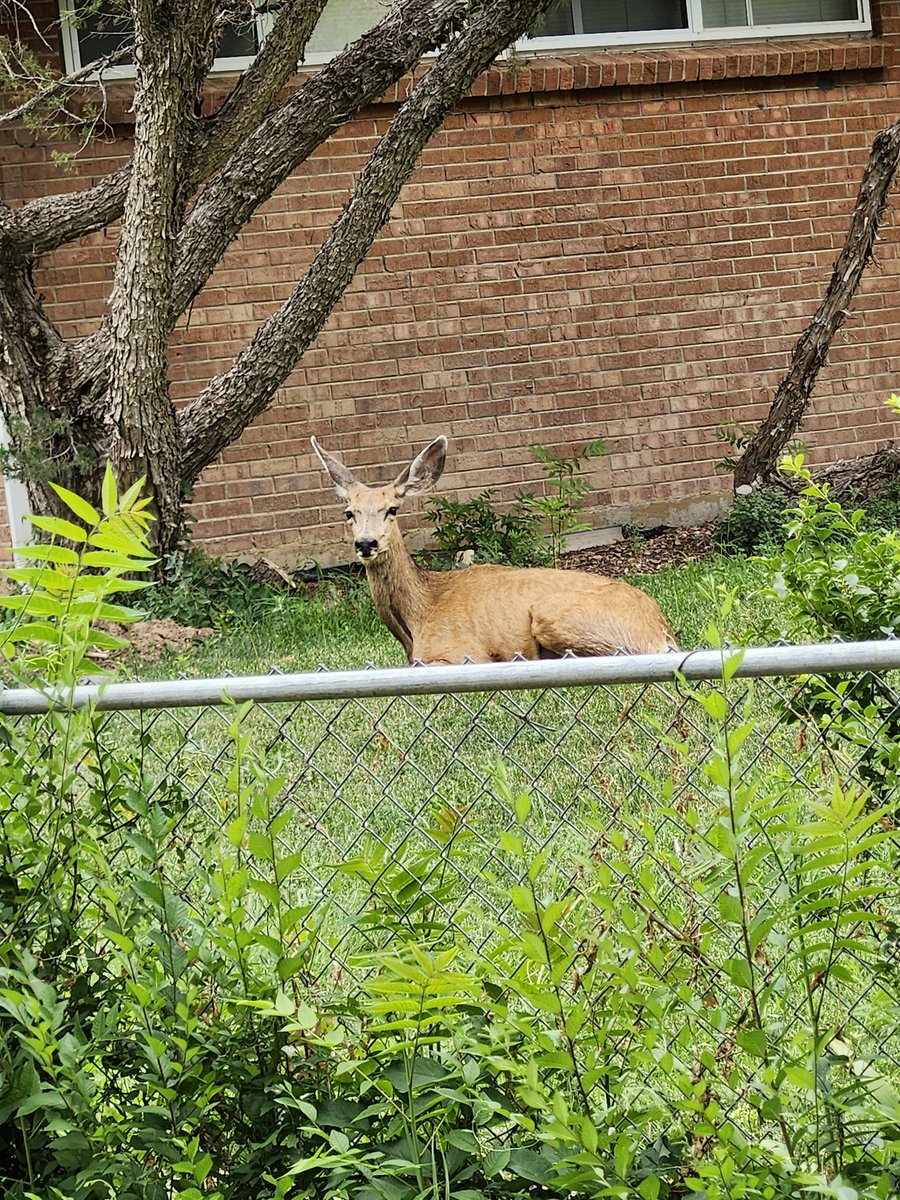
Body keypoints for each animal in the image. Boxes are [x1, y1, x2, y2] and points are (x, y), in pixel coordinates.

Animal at [312, 436, 678, 665]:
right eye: (349, 513)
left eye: (392, 509)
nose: (366, 543)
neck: (419, 615)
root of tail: (660, 629)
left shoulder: (461, 653)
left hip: (552, 614)